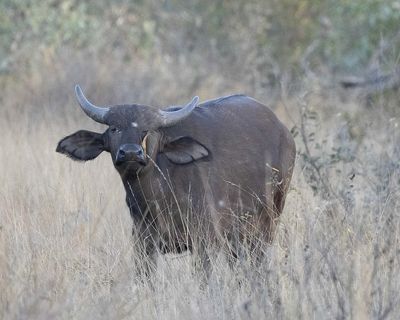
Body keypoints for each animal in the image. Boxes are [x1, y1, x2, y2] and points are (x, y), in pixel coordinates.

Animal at [56, 85, 296, 276]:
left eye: (148, 130)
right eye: (115, 128)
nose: (131, 153)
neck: (159, 196)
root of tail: (284, 133)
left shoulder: (204, 241)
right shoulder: (144, 242)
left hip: (268, 223)